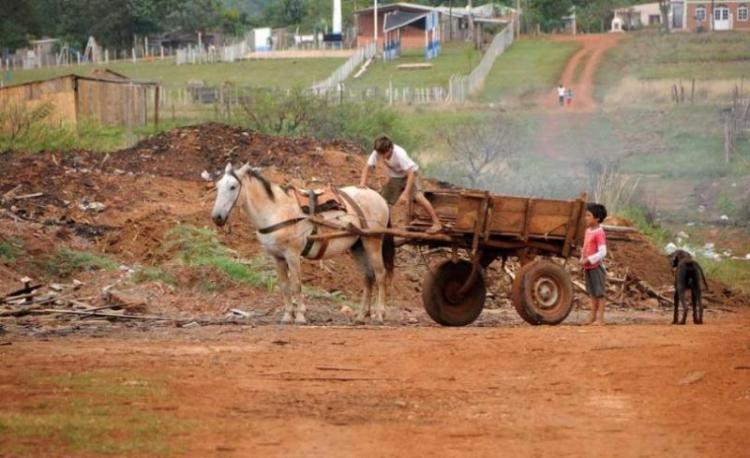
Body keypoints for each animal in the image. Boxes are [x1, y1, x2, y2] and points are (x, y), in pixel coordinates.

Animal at [212, 163, 394, 324]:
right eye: (218, 186)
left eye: (233, 187)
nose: (217, 217)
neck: (276, 211)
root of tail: (379, 198)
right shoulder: (277, 258)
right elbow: (284, 286)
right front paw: (287, 316)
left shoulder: (292, 255)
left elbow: (296, 285)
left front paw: (299, 316)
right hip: (358, 246)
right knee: (368, 277)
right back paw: (361, 316)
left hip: (373, 242)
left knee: (380, 275)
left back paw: (379, 314)